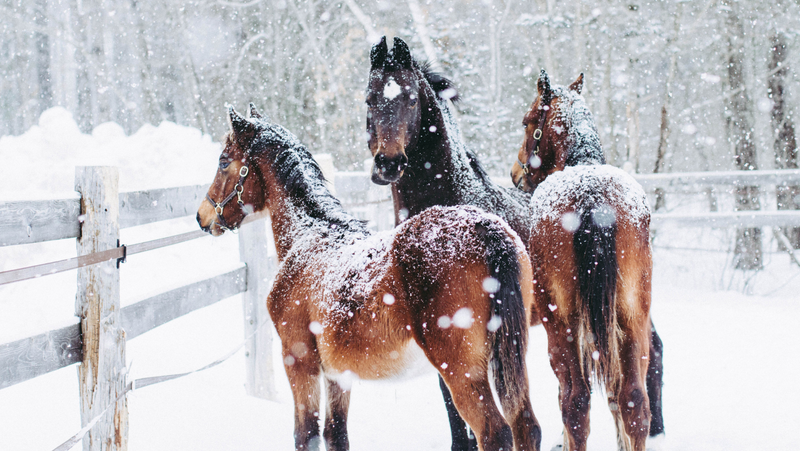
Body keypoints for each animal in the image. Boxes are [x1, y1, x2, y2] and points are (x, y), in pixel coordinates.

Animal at [197, 105, 541, 451]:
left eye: (224, 161)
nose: (203, 216)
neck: (309, 236)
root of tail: (487, 230)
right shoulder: (338, 375)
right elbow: (336, 434)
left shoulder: (299, 362)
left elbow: (306, 435)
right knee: (526, 426)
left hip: (462, 370)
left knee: (495, 432)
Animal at [511, 71, 656, 451]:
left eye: (527, 122)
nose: (516, 174)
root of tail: (592, 198)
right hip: (633, 317)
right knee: (635, 402)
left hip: (560, 322)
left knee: (575, 401)